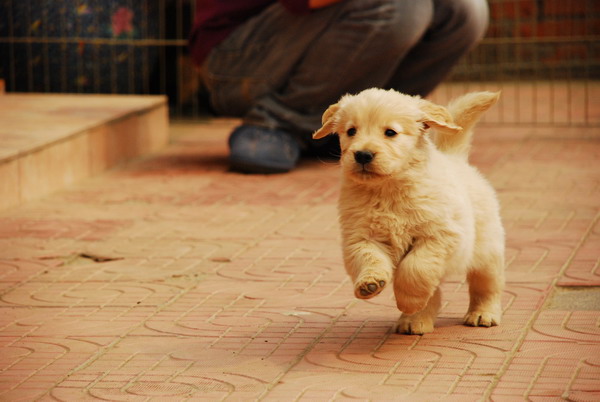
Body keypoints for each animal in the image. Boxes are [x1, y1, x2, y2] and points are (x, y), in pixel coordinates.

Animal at [314, 88, 506, 336]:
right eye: (351, 131)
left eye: (390, 132)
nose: (363, 155)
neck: (388, 190)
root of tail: (455, 158)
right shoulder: (361, 237)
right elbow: (370, 259)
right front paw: (370, 283)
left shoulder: (440, 236)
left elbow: (415, 268)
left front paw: (408, 302)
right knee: (434, 292)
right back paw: (415, 320)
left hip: (487, 251)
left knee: (486, 286)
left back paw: (482, 314)